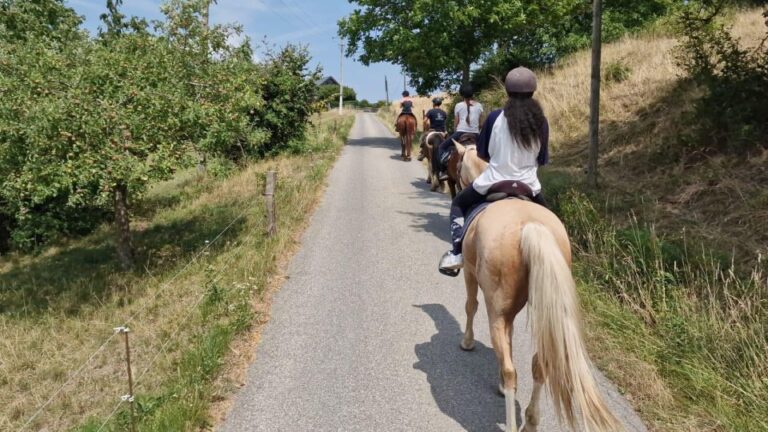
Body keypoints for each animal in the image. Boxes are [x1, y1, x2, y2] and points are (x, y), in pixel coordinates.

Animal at [452, 141, 620, 432]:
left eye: (460, 162)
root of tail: (531, 226)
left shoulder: (471, 274)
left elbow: (470, 306)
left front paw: (467, 342)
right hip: (546, 309)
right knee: (541, 364)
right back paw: (530, 421)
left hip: (497, 308)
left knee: (511, 368)